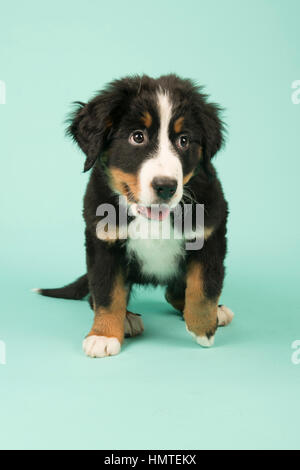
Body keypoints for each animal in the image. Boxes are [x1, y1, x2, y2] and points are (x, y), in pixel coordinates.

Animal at [36, 75, 234, 358]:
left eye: (184, 140)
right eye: (137, 137)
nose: (166, 186)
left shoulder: (210, 234)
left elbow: (205, 287)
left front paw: (203, 329)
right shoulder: (104, 243)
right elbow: (107, 293)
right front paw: (104, 334)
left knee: (175, 292)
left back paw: (216, 313)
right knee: (96, 296)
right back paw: (128, 319)